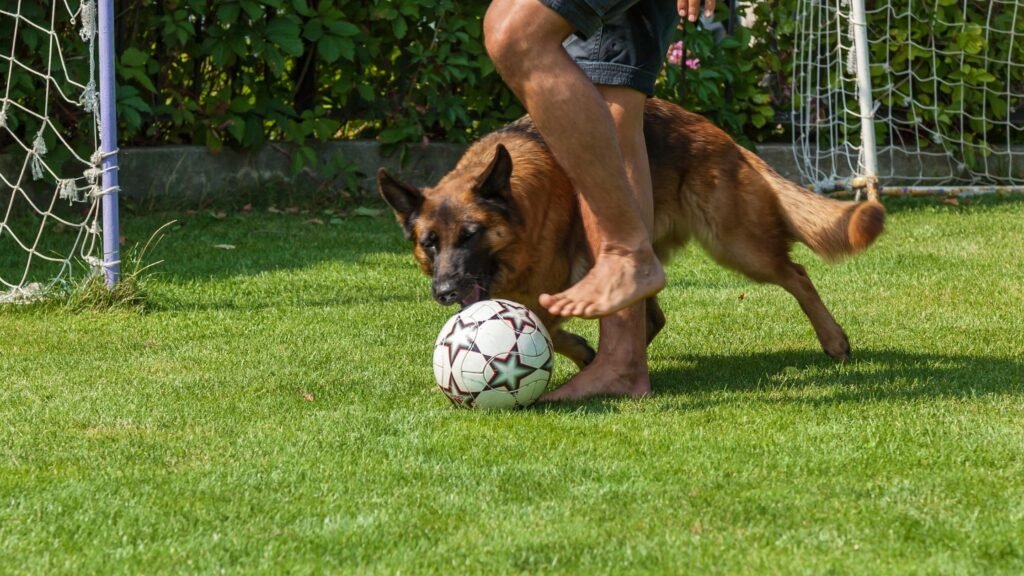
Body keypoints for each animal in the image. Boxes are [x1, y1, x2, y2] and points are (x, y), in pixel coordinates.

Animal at [380, 98, 884, 366]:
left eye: (471, 234)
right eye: (429, 244)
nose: (445, 292)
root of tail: (722, 136)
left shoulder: (550, 287)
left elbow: (545, 327)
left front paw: (576, 350)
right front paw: (583, 353)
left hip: (737, 245)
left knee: (796, 274)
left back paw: (834, 340)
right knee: (654, 316)